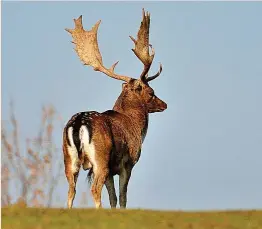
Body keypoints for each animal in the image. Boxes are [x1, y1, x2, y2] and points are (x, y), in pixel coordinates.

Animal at [62, 8, 167, 209]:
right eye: (151, 92)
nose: (164, 104)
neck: (134, 125)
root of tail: (78, 124)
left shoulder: (111, 171)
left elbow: (113, 198)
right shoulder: (128, 162)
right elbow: (123, 197)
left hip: (68, 158)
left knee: (71, 190)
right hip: (100, 158)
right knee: (94, 189)